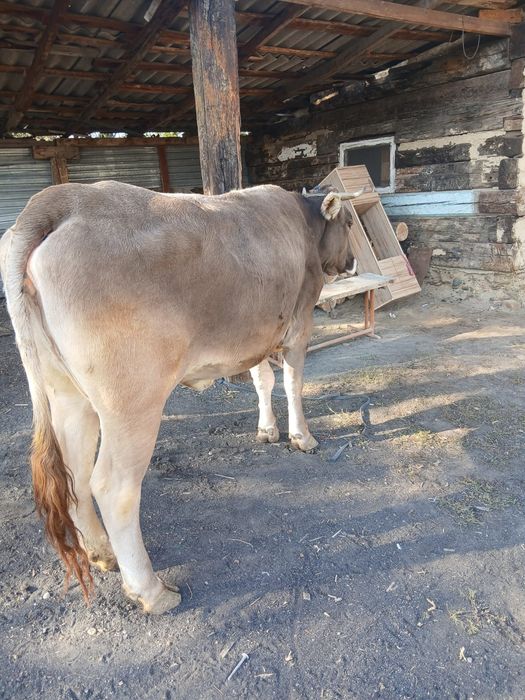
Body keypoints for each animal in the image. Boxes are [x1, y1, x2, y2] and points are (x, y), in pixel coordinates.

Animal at [0, 181, 359, 613]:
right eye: (349, 222)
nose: (354, 261)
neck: (303, 223)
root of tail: (63, 199)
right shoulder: (299, 323)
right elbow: (292, 384)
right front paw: (302, 437)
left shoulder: (255, 335)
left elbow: (262, 380)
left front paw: (267, 431)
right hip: (133, 401)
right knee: (114, 486)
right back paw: (151, 590)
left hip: (67, 391)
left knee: (75, 471)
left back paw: (102, 553)